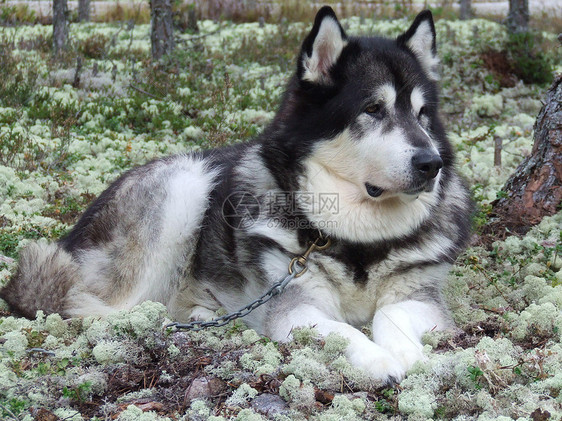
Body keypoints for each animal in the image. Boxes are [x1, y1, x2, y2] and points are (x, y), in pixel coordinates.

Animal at [2, 6, 470, 380]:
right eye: (373, 109)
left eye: (422, 114)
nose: (431, 164)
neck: (356, 243)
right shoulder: (294, 306)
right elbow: (342, 330)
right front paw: (380, 360)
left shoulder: (419, 297)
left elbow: (390, 314)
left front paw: (414, 357)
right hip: (184, 186)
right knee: (94, 305)